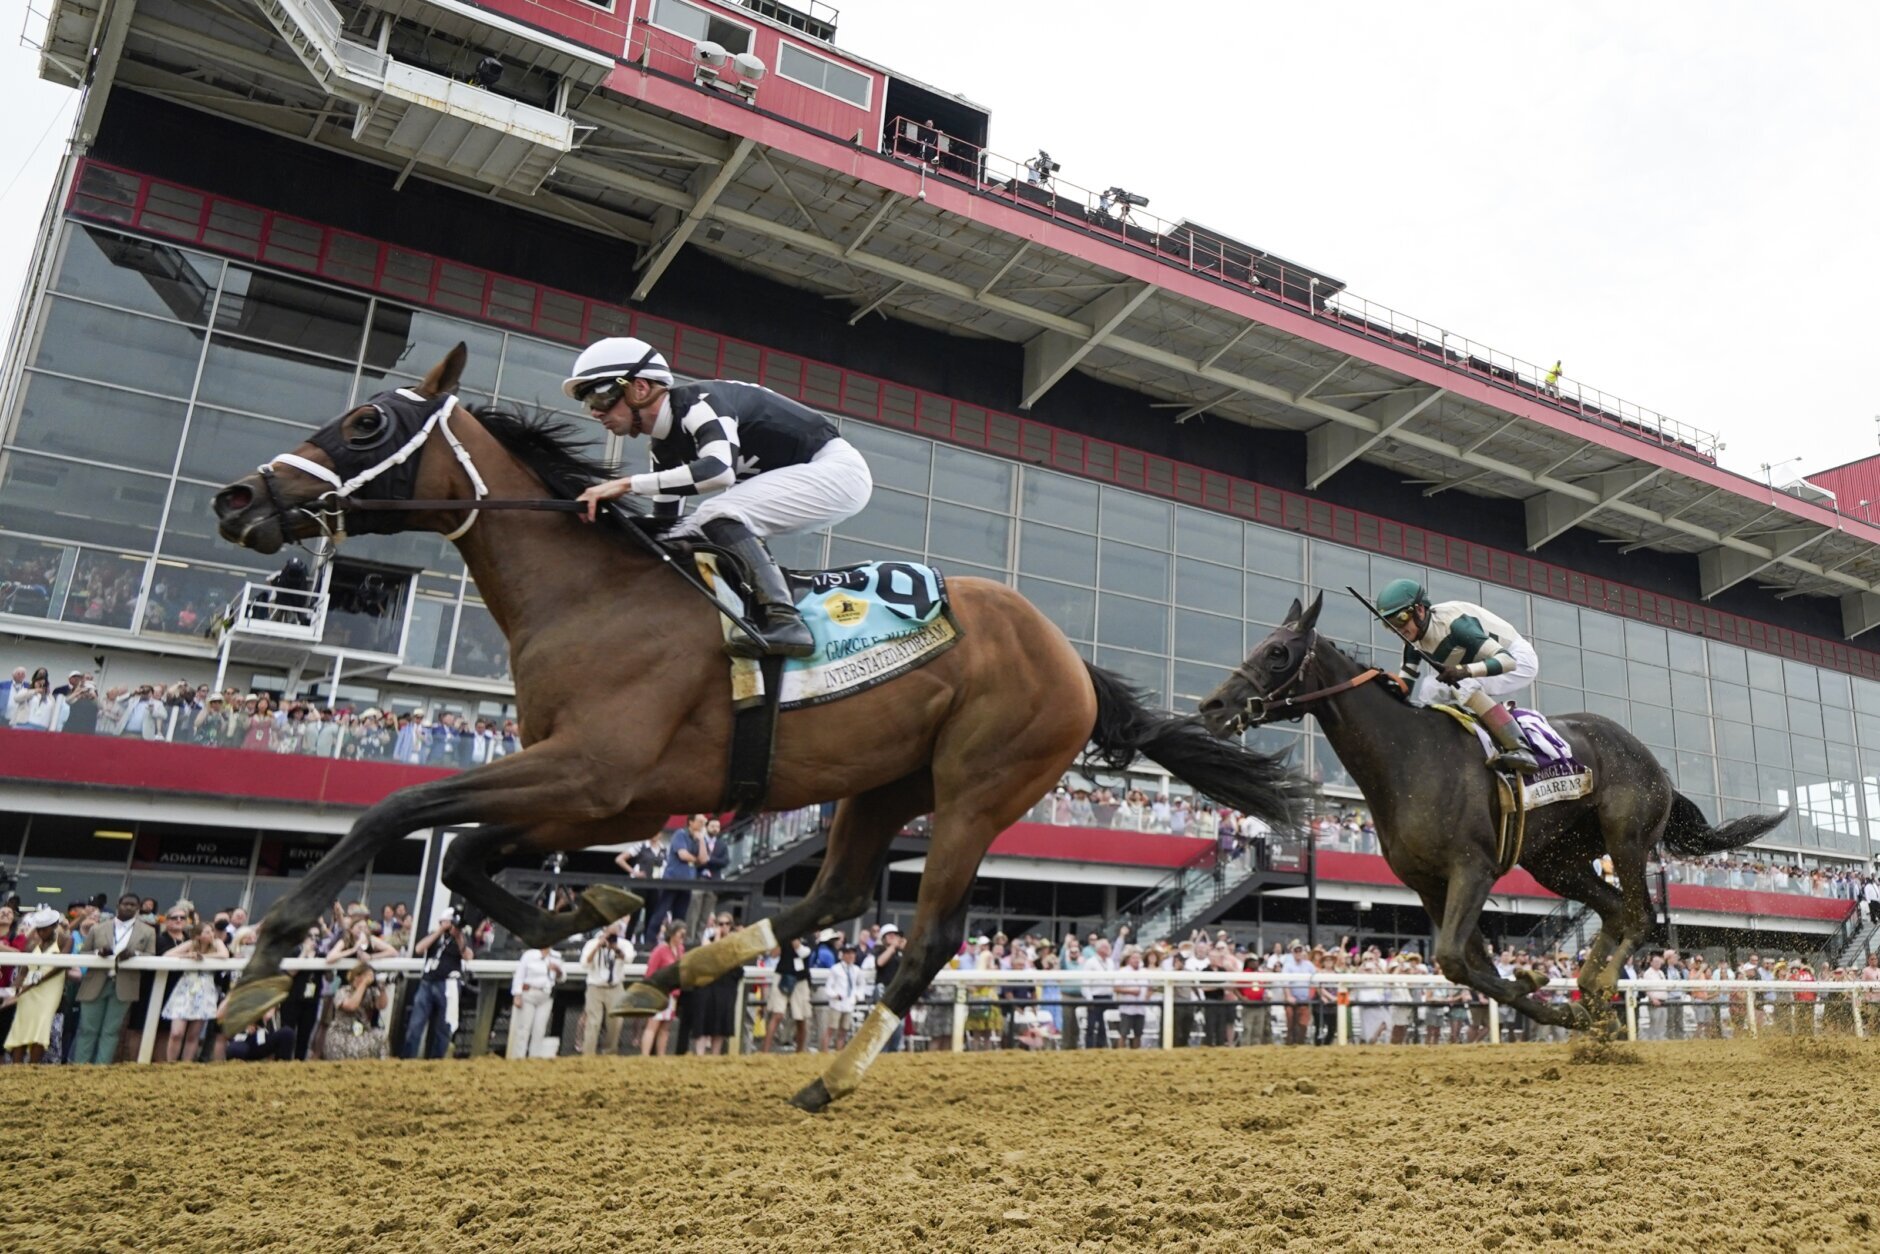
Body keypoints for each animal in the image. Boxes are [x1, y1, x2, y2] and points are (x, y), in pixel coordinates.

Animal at [209, 344, 1308, 1109]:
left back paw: (829, 1077)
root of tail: (1068, 656)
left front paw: (265, 962)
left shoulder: (593, 772)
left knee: (925, 936)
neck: (591, 594)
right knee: (833, 896)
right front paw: (590, 913)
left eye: (364, 420)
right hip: (882, 784)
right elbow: (475, 852)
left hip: (978, 788)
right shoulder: (604, 795)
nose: (235, 495)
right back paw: (676, 976)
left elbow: (394, 810)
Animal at [1195, 593, 1787, 1030]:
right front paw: (1542, 990)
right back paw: (1589, 992)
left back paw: (1595, 989)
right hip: (1555, 861)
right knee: (1617, 910)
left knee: (1640, 915)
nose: (1212, 706)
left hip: (1627, 835)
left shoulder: (1472, 868)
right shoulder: (1428, 884)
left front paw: (1552, 1003)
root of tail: (1654, 762)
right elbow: (1467, 963)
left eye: (1277, 652)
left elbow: (1455, 959)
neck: (1406, 755)